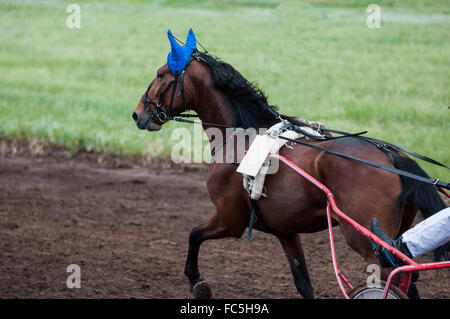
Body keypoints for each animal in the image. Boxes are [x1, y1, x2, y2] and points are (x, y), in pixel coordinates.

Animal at [131, 30, 446, 300]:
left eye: (161, 74)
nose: (137, 113)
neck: (240, 136)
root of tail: (391, 155)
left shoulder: (229, 219)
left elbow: (193, 235)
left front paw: (197, 282)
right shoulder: (286, 231)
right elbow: (303, 282)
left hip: (362, 237)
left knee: (392, 272)